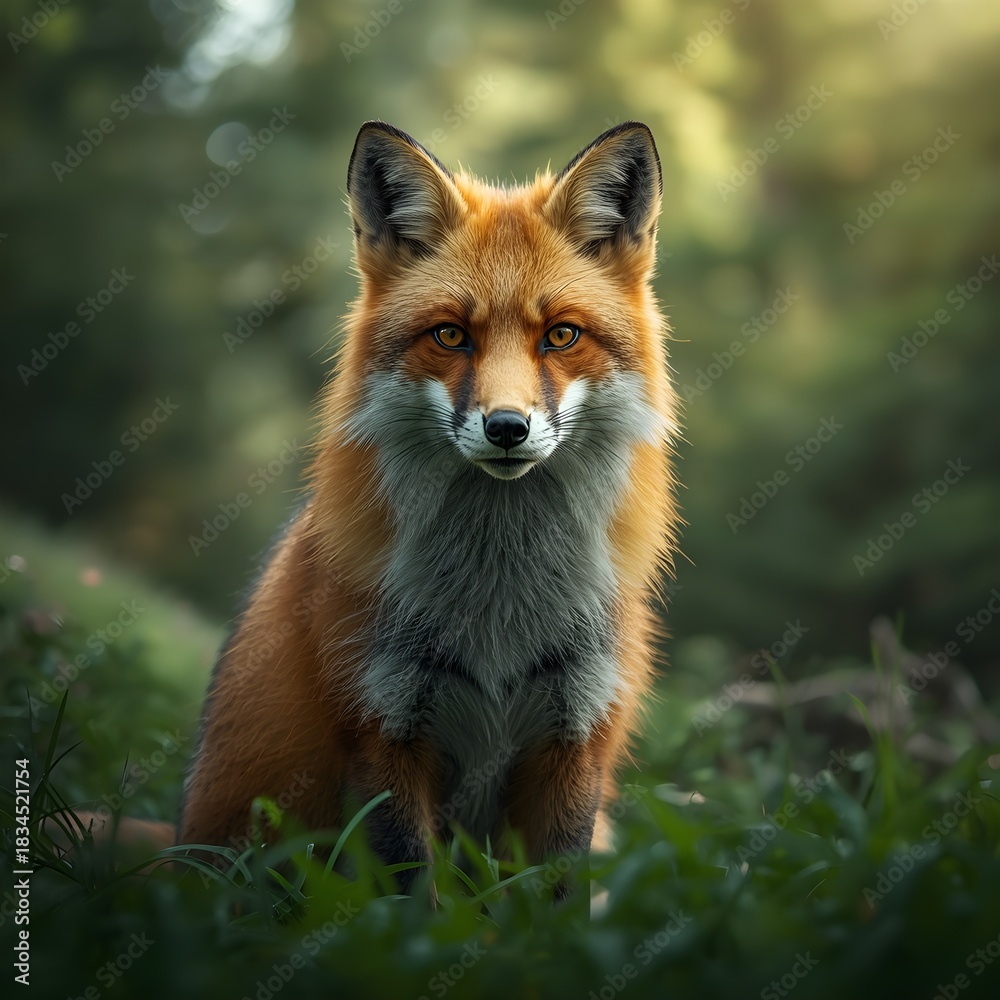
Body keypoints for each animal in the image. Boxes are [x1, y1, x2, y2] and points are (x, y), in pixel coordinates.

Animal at [172, 120, 679, 893]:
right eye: (450, 335)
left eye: (561, 335)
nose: (507, 428)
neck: (500, 609)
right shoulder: (382, 728)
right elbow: (415, 895)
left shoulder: (575, 737)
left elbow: (556, 897)